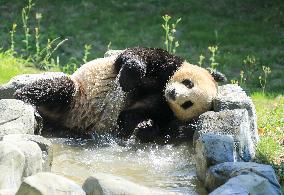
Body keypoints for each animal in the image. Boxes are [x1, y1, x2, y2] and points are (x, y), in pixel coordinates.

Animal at [15, 47, 226, 142]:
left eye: (187, 104)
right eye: (188, 83)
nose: (174, 93)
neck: (161, 89)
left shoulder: (162, 107)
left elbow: (135, 116)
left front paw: (143, 127)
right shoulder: (167, 65)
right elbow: (136, 57)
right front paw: (127, 80)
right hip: (76, 94)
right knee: (59, 87)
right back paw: (24, 100)